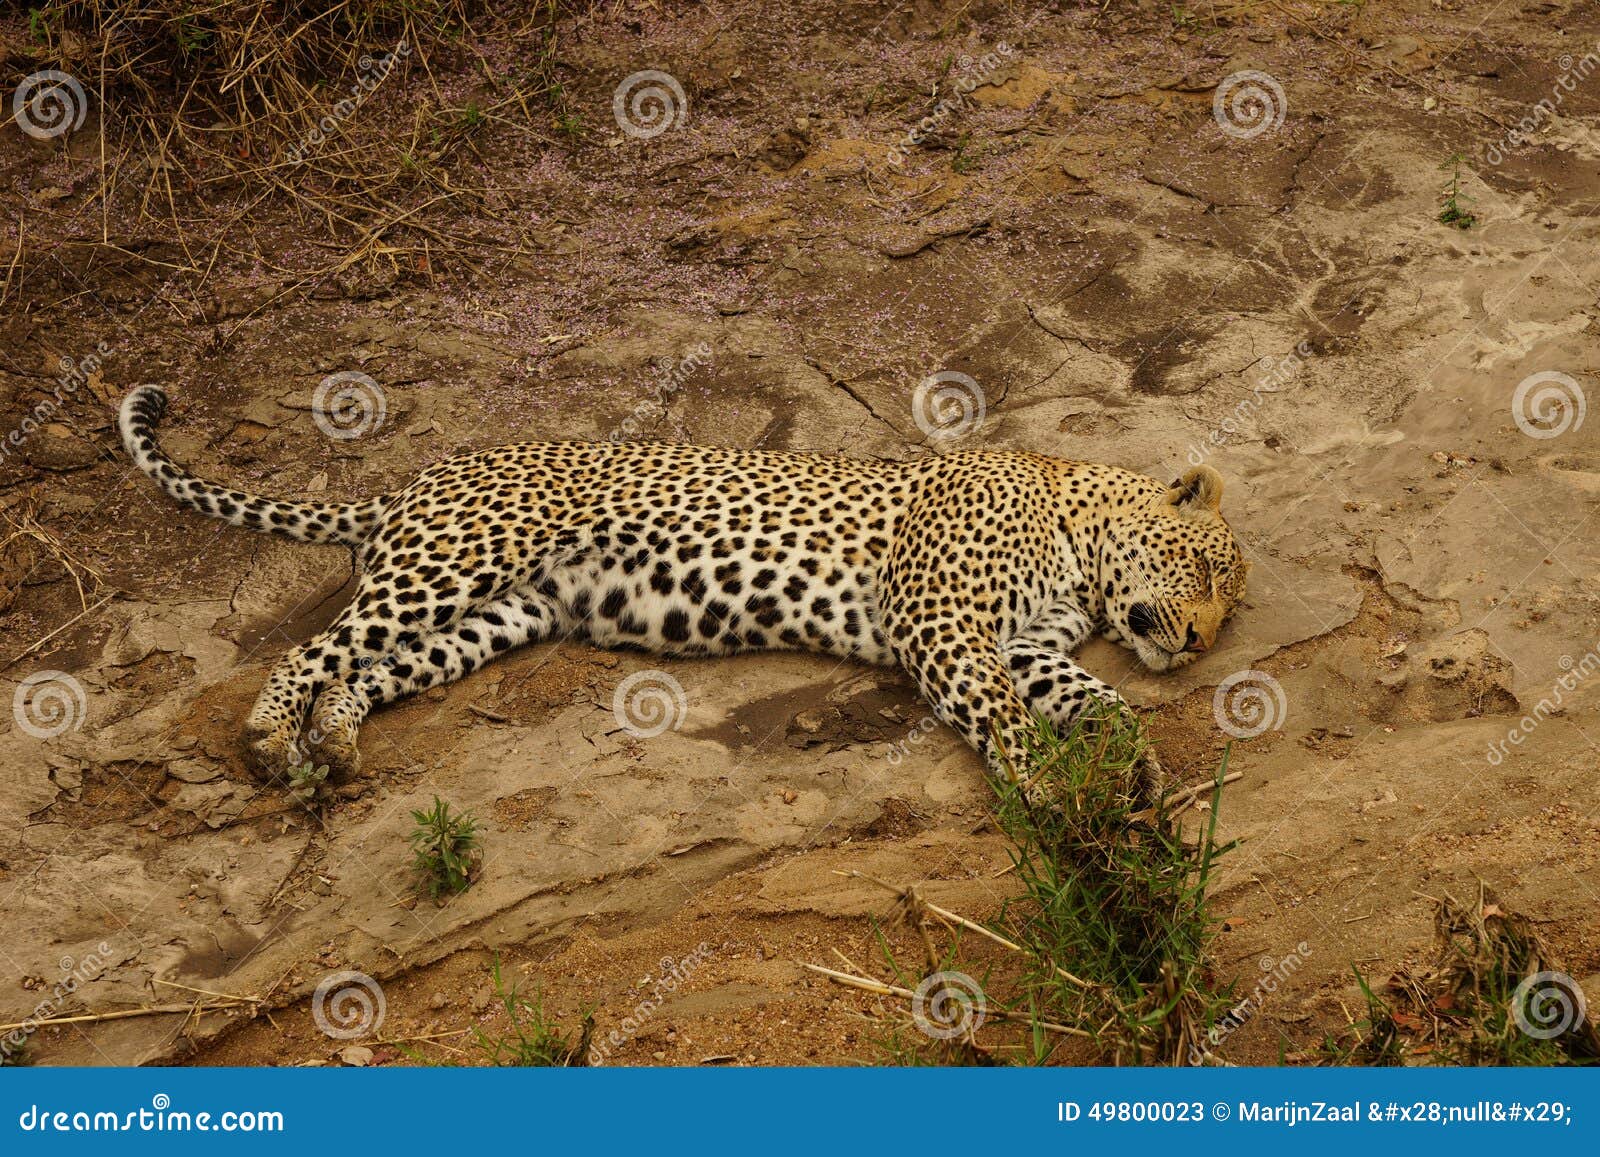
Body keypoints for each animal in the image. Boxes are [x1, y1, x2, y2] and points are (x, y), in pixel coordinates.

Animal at [121, 384, 1248, 800]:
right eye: (1208, 573)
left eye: (1225, 604)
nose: (1199, 642)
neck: (1077, 541)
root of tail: (413, 480)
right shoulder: (946, 625)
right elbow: (1010, 721)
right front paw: (1052, 793)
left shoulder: (1024, 644)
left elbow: (1095, 699)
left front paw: (1137, 767)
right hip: (453, 560)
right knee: (313, 648)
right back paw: (271, 742)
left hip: (495, 615)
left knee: (366, 669)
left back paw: (335, 740)